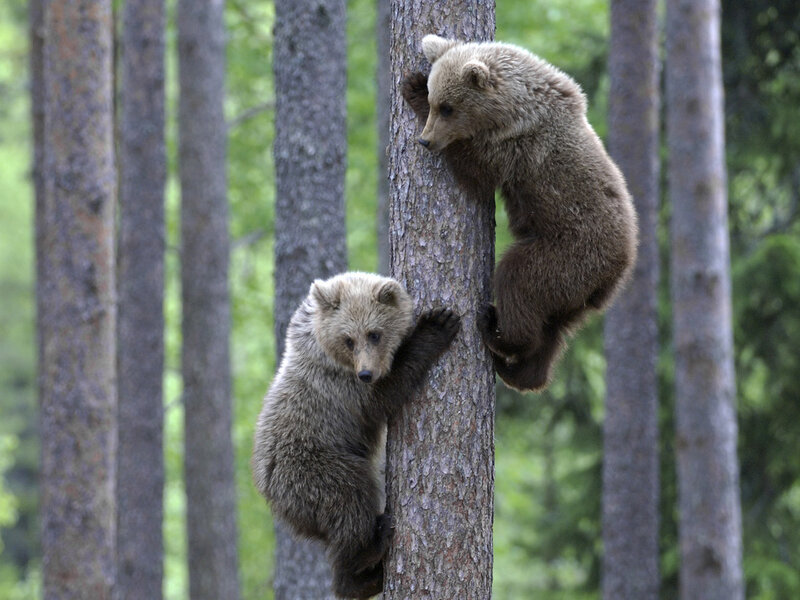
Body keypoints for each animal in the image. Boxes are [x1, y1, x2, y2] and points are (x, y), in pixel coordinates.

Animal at [251, 272, 461, 599]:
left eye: (374, 333)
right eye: (348, 339)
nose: (366, 373)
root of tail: (268, 490)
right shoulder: (342, 388)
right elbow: (385, 394)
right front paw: (436, 325)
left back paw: (368, 577)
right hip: (313, 468)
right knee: (351, 497)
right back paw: (369, 551)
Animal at [402, 34, 638, 392]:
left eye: (446, 107)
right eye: (436, 101)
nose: (425, 140)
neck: (514, 109)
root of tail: (618, 270)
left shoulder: (516, 149)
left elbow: (476, 174)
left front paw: (411, 86)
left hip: (568, 254)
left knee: (518, 281)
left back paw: (496, 331)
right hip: (574, 293)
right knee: (553, 329)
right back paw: (520, 371)